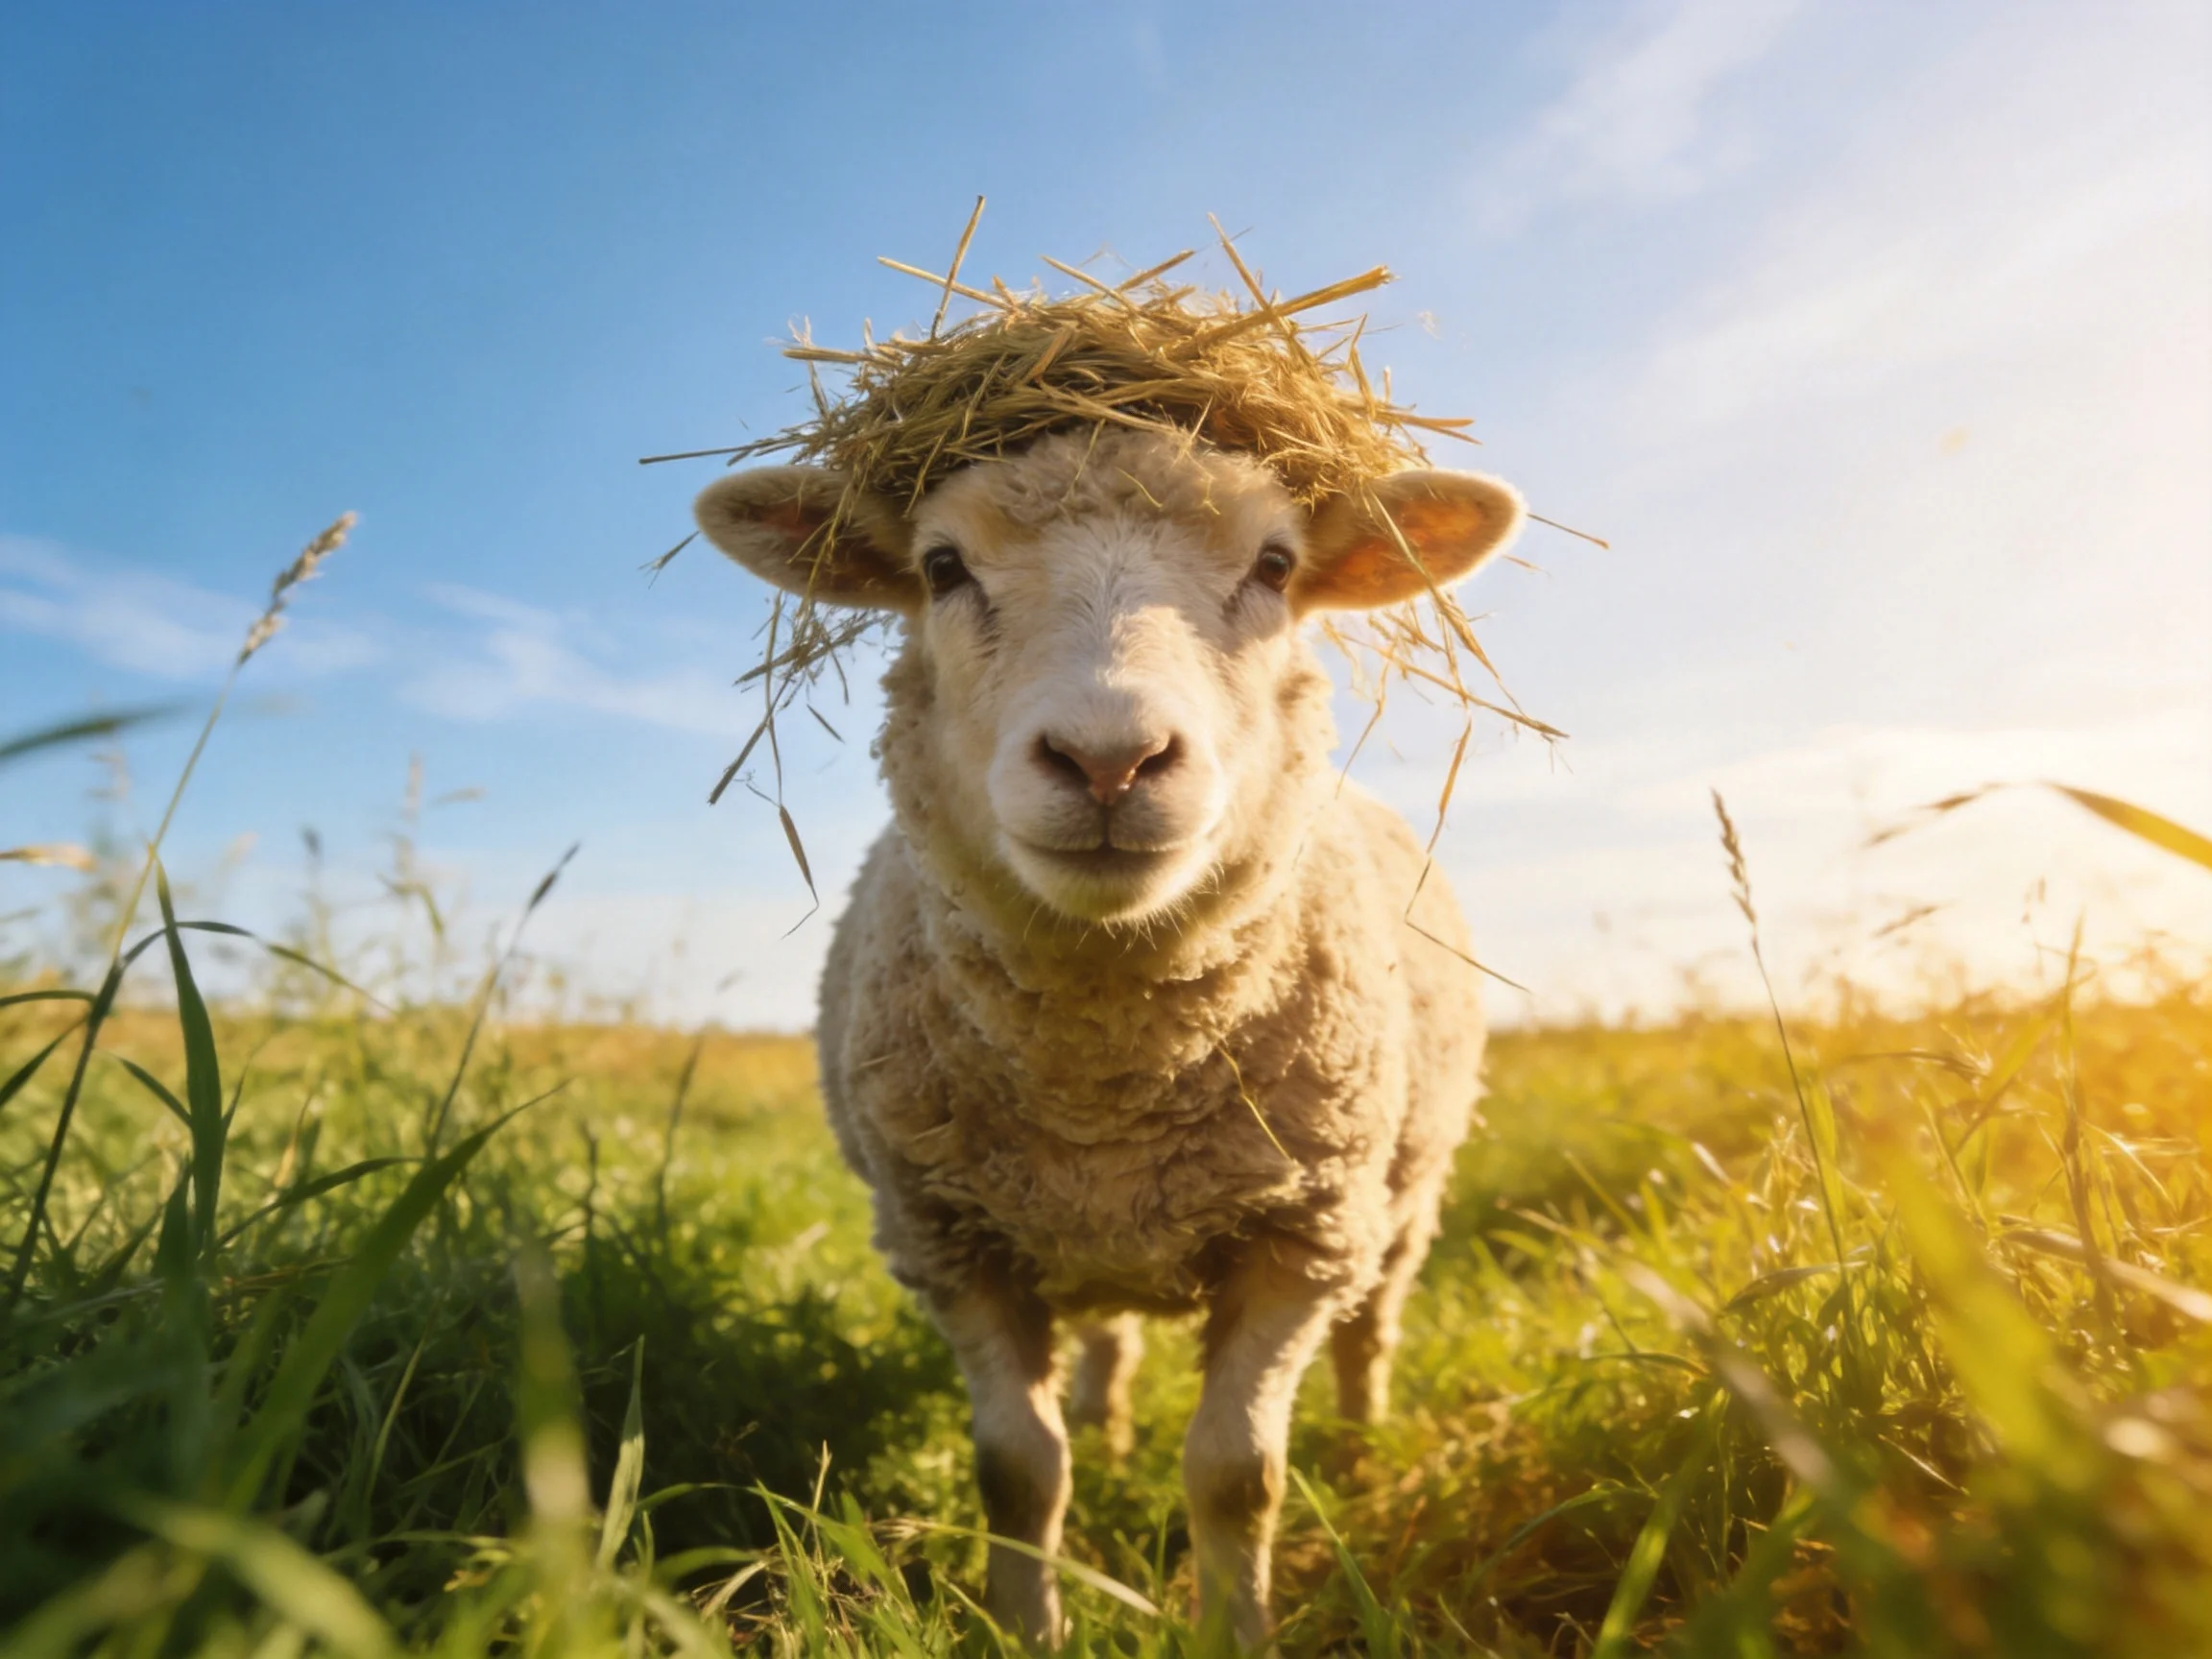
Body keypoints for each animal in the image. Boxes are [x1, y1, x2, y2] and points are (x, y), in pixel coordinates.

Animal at [695, 424, 1523, 1649]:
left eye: (1275, 565)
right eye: (942, 566)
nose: (1107, 762)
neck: (1107, 1076)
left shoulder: (1301, 1235)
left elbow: (1238, 1474)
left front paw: (1236, 1628)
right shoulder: (952, 1241)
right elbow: (1017, 1469)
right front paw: (1026, 1626)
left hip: (1403, 1192)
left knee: (1371, 1330)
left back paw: (1366, 1457)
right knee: (1105, 1337)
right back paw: (1110, 1418)